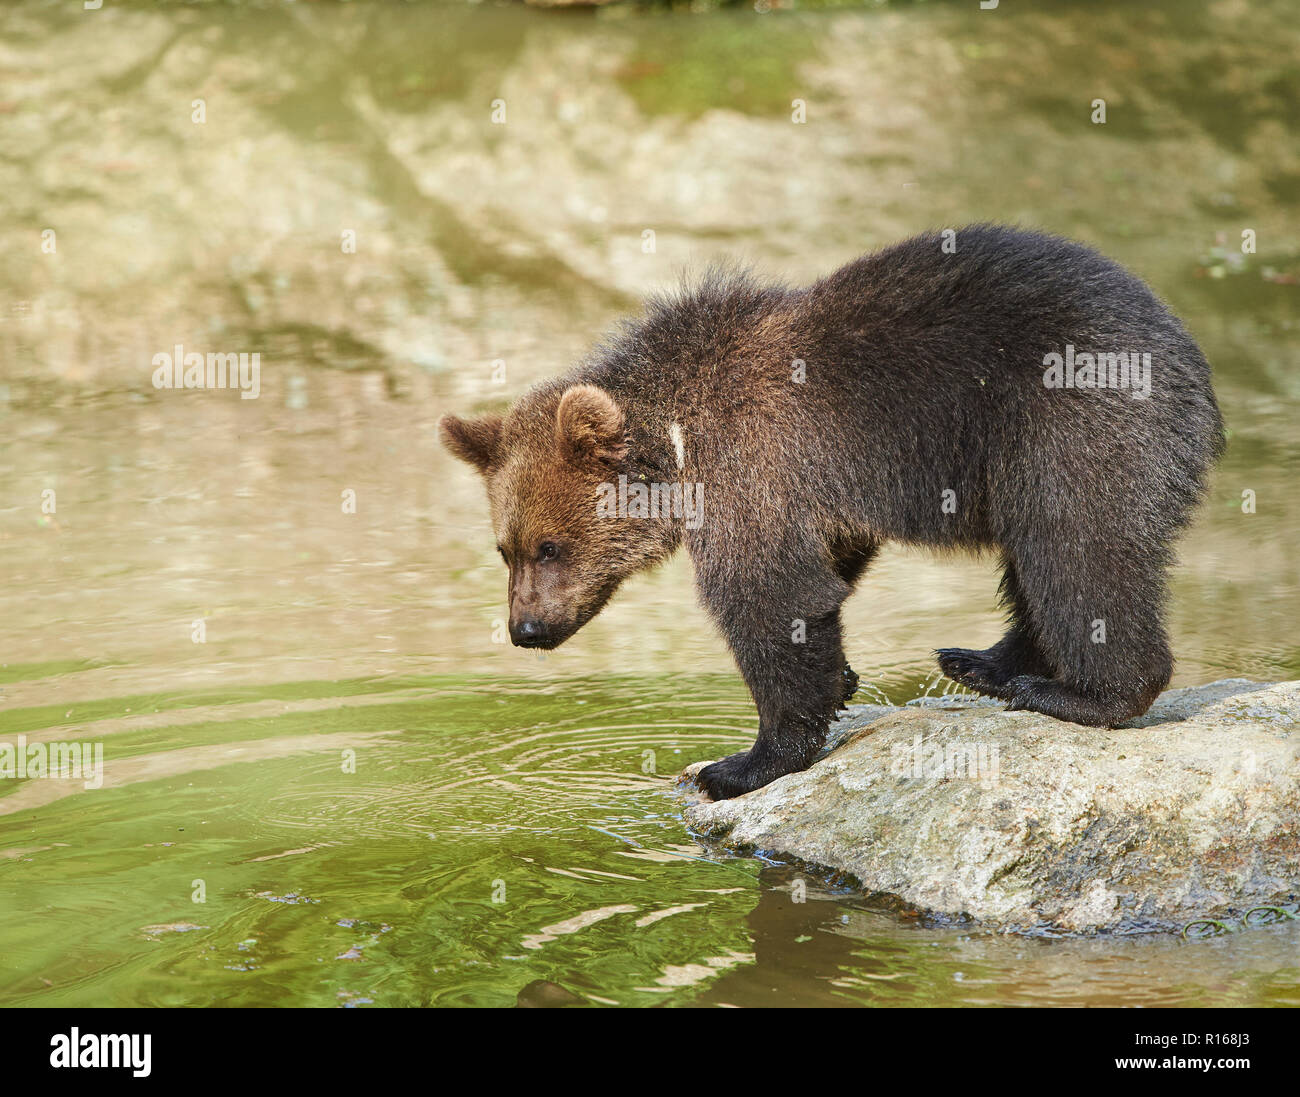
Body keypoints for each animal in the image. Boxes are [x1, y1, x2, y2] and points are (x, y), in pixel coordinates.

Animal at [440, 225, 1225, 801]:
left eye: (550, 546)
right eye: (505, 548)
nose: (526, 629)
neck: (677, 437)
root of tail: (1193, 363)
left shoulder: (750, 466)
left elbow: (767, 596)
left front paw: (740, 763)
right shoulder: (813, 490)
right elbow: (826, 572)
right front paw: (841, 678)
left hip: (1067, 424)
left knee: (1076, 549)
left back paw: (1078, 693)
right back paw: (982, 661)